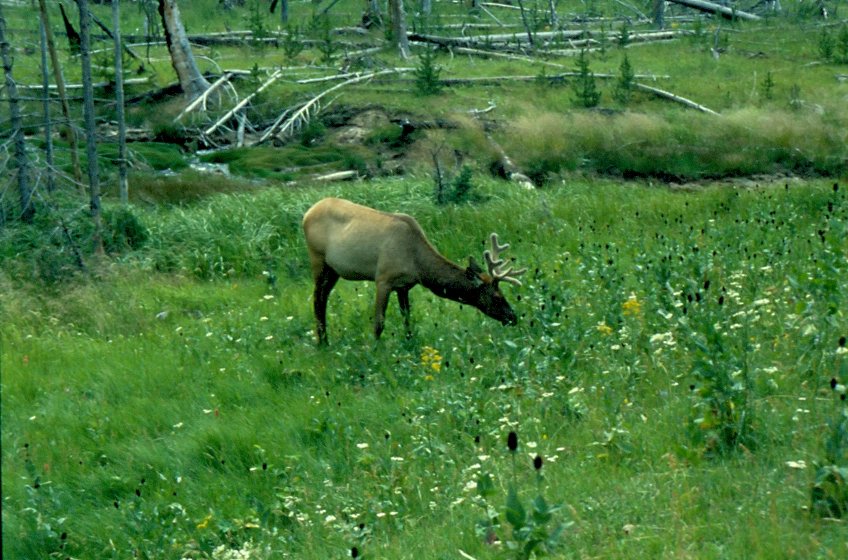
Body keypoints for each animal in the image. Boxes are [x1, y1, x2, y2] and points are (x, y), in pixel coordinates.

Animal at [302, 197, 528, 346]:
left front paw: (409, 342)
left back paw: (324, 339)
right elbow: (379, 323)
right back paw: (322, 342)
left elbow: (407, 319)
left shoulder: (404, 286)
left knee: (323, 298)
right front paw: (376, 349)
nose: (513, 317)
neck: (418, 266)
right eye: (497, 297)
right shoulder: (383, 279)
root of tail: (307, 213)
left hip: (333, 270)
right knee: (317, 299)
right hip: (318, 260)